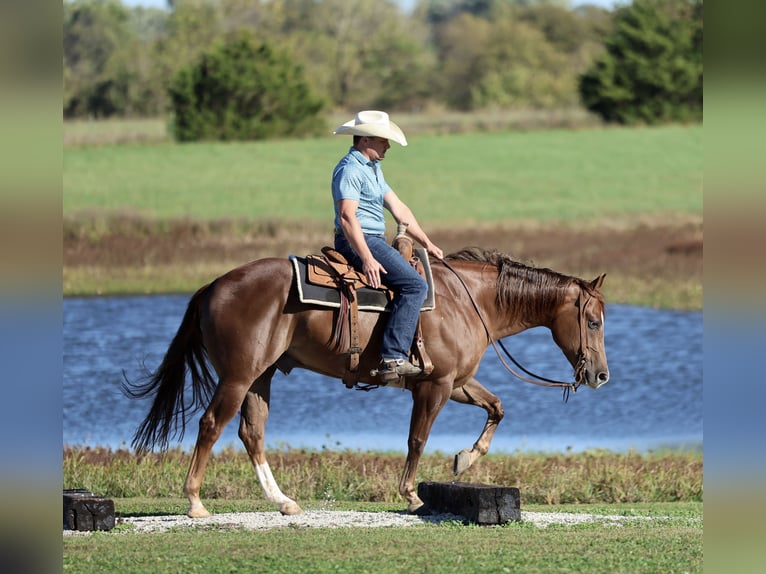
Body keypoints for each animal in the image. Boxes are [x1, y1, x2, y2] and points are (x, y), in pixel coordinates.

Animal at [124, 247, 609, 517]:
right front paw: (412, 495)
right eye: (592, 321)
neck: (468, 300)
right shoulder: (435, 386)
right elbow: (417, 439)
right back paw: (195, 503)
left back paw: (283, 501)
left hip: (260, 377)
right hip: (238, 376)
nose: (601, 375)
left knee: (251, 432)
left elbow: (497, 407)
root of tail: (213, 286)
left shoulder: (456, 381)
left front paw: (464, 460)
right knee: (211, 425)